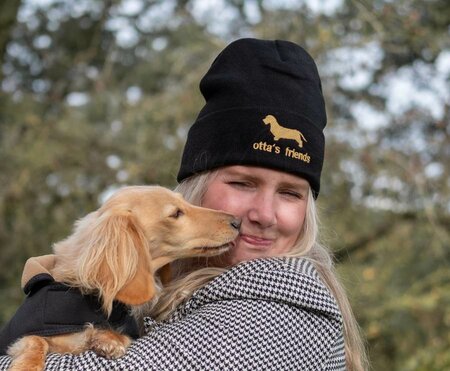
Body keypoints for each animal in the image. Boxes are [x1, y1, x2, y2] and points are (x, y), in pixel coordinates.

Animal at [1, 187, 239, 370]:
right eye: (176, 213)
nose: (237, 221)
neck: (88, 296)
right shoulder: (28, 337)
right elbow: (35, 341)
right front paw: (27, 365)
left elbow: (118, 335)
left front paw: (108, 340)